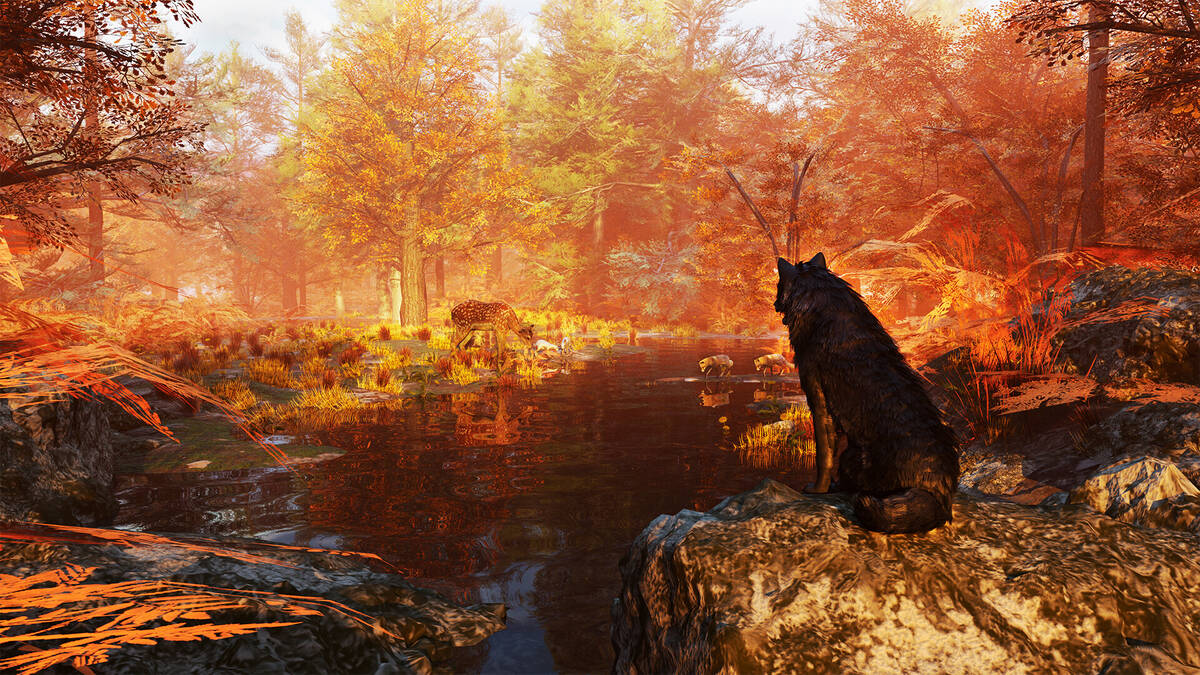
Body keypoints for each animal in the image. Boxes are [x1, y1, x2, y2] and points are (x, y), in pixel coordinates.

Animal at [776, 253, 959, 533]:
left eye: (778, 285)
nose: (774, 303)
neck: (824, 308)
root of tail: (939, 493)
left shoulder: (818, 398)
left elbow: (823, 456)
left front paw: (816, 490)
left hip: (852, 457)